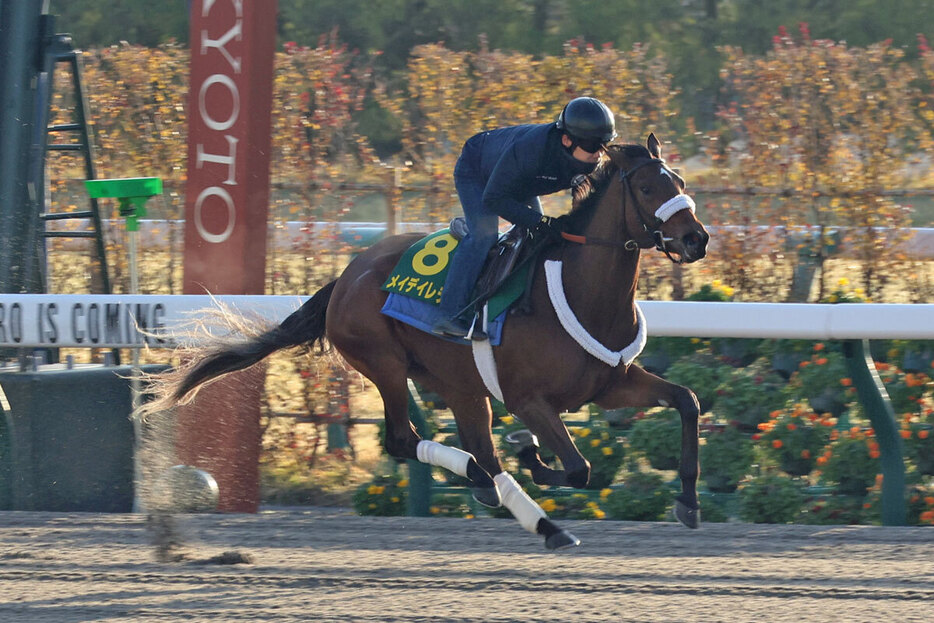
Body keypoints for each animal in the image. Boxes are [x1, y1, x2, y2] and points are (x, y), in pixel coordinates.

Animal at [148, 135, 708, 552]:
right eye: (647, 185)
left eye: (680, 181)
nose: (696, 239)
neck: (578, 288)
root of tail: (346, 276)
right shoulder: (529, 399)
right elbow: (578, 467)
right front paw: (531, 453)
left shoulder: (610, 384)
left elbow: (686, 401)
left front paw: (688, 502)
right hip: (385, 364)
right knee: (406, 440)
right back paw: (492, 483)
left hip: (463, 388)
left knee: (479, 452)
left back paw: (534, 517)